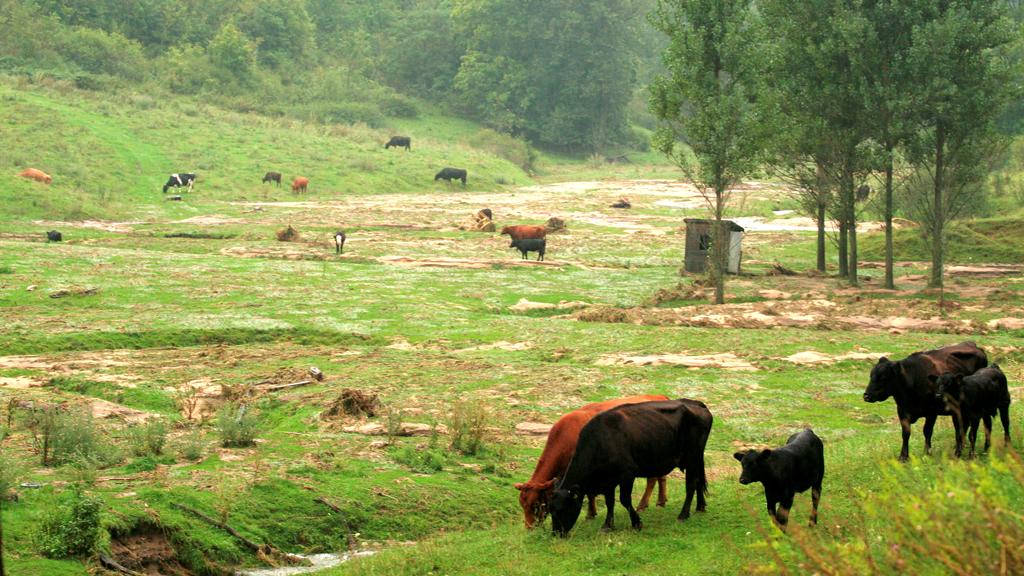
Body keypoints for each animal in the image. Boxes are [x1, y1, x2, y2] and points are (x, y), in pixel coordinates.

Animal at [512, 391, 671, 528]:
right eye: (522, 505)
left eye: (535, 505)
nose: (529, 527)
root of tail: (660, 396)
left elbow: (590, 493)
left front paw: (590, 513)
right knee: (661, 477)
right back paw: (661, 501)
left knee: (652, 479)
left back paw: (643, 505)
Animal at [552, 397, 712, 537]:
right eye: (550, 509)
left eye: (561, 509)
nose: (556, 533)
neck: (601, 441)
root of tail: (695, 403)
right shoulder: (609, 480)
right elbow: (610, 502)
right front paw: (607, 526)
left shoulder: (627, 474)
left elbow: (624, 500)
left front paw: (636, 523)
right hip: (696, 459)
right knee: (698, 480)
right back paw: (700, 507)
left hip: (692, 457)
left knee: (691, 484)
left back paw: (683, 515)